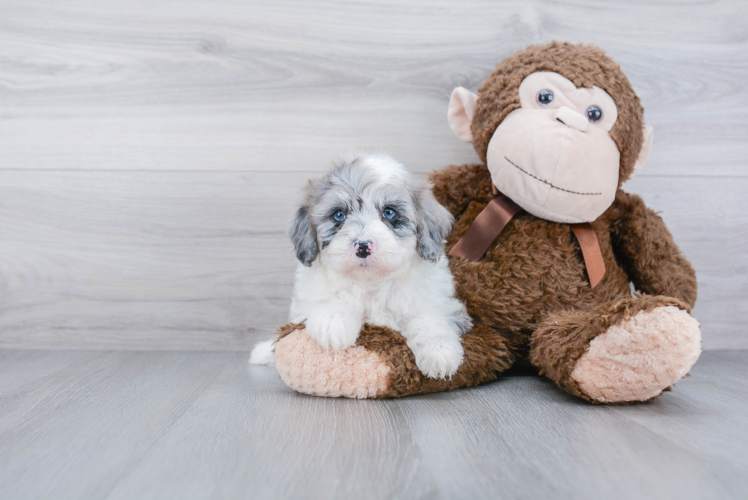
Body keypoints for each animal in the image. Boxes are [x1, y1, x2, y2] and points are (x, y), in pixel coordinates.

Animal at [254, 152, 470, 378]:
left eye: (390, 213)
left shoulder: (439, 302)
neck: (371, 282)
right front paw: (333, 320)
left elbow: (428, 318)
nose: (363, 246)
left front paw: (439, 351)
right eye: (339, 214)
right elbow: (334, 297)